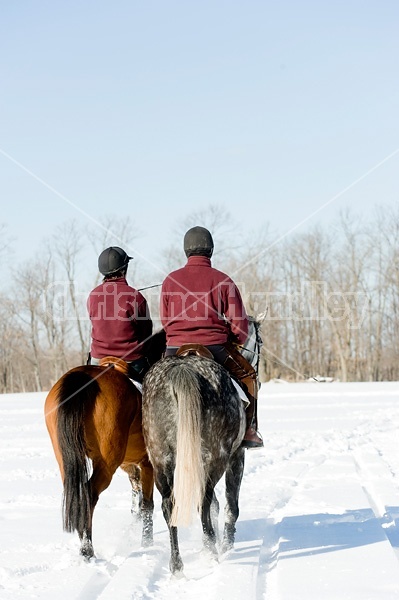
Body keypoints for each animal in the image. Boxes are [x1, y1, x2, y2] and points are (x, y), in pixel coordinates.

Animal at [45, 328, 166, 556]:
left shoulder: (132, 466)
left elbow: (137, 503)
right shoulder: (147, 464)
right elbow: (147, 505)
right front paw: (147, 544)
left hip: (66, 460)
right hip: (107, 463)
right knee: (89, 495)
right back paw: (87, 549)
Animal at [142, 316, 264, 576]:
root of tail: (182, 369)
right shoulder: (237, 455)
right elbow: (230, 505)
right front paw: (227, 545)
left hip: (160, 458)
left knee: (170, 505)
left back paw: (177, 564)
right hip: (216, 456)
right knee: (204, 500)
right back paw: (211, 552)